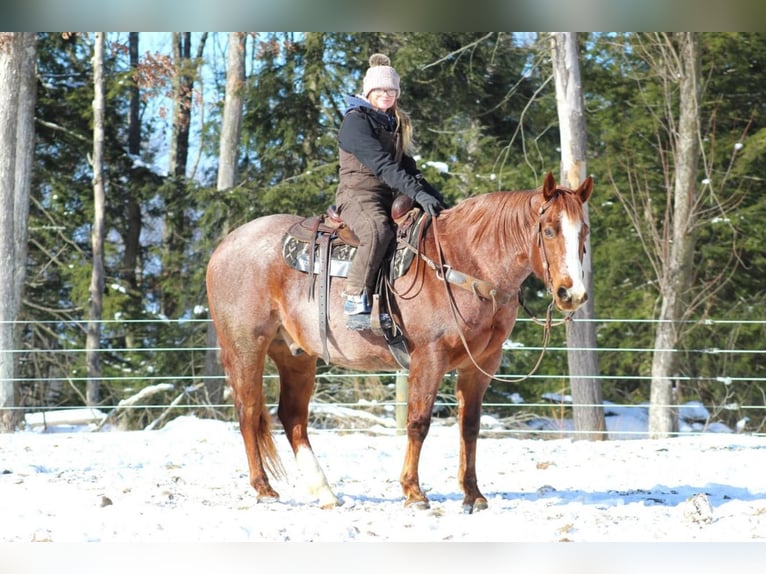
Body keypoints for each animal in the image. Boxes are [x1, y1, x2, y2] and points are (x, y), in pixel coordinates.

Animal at [206, 171, 592, 512]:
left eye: (583, 231)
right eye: (548, 229)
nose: (572, 294)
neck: (464, 263)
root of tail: (225, 245)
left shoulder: (480, 365)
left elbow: (470, 427)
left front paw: (473, 495)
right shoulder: (429, 358)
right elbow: (418, 422)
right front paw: (414, 492)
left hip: (295, 354)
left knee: (292, 416)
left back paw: (325, 492)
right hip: (246, 346)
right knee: (248, 411)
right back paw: (264, 489)